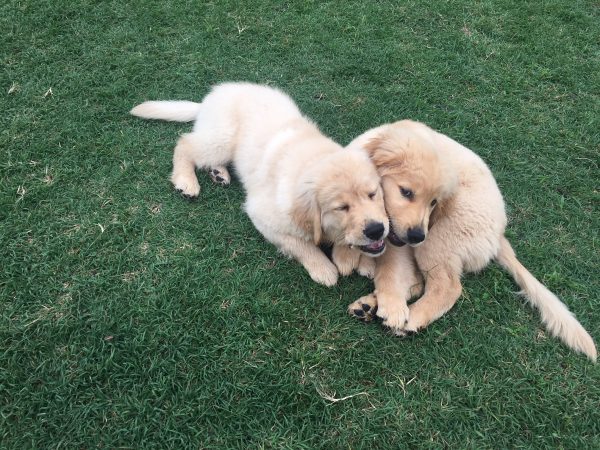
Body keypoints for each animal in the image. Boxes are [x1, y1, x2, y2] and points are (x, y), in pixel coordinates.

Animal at [130, 83, 390, 286]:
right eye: (341, 208)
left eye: (373, 194)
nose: (376, 230)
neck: (312, 161)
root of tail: (209, 98)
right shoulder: (263, 216)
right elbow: (300, 244)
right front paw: (324, 268)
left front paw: (351, 258)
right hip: (221, 139)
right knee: (185, 143)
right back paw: (186, 181)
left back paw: (219, 173)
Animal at [346, 119, 596, 362]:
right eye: (406, 192)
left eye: (434, 202)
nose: (417, 235)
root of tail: (500, 236)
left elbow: (390, 268)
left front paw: (391, 303)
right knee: (420, 283)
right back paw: (369, 305)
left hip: (439, 237)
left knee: (447, 287)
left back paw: (411, 318)